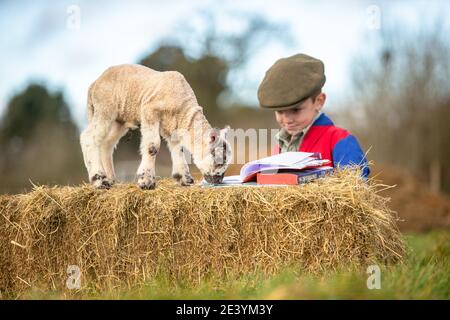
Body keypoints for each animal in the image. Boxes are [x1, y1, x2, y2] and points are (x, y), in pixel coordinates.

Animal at [79, 65, 232, 190]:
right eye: (219, 162)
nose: (219, 180)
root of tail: (94, 84)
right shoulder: (149, 111)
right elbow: (152, 146)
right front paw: (146, 181)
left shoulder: (172, 126)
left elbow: (178, 148)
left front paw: (183, 178)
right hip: (105, 108)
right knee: (89, 138)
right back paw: (99, 180)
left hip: (119, 120)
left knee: (106, 144)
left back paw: (110, 179)